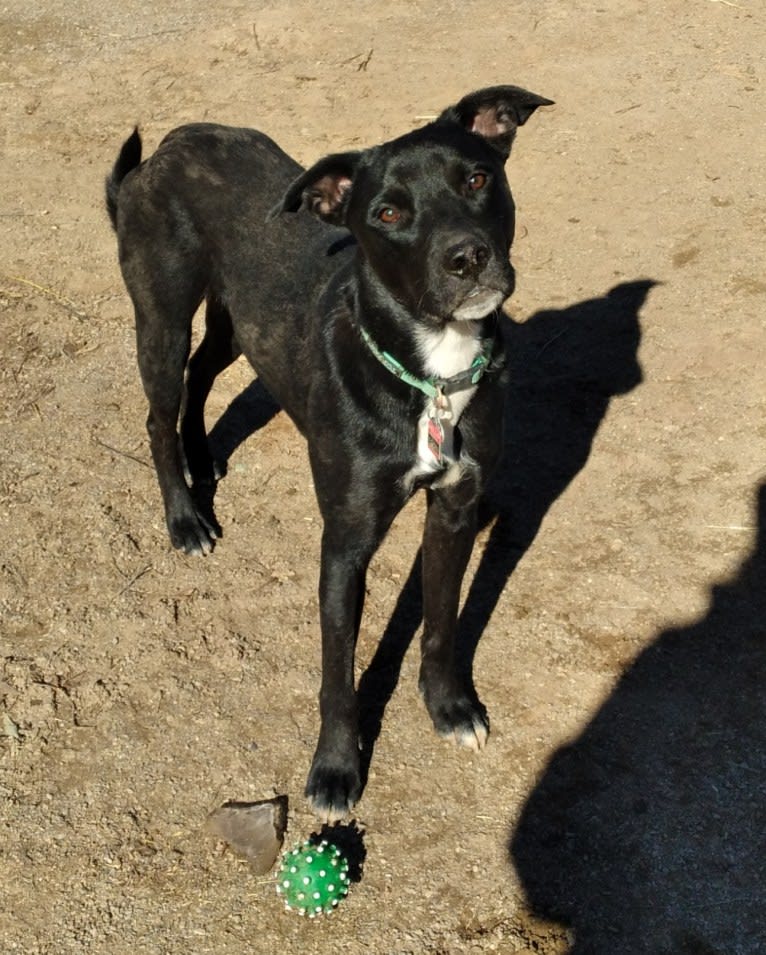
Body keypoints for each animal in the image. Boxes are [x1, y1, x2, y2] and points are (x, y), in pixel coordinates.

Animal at [106, 86, 552, 816]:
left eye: (477, 179)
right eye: (389, 213)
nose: (467, 258)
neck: (430, 372)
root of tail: (169, 147)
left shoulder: (455, 511)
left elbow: (440, 622)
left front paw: (449, 706)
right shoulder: (345, 543)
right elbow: (338, 672)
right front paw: (337, 769)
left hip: (240, 321)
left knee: (203, 373)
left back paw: (205, 462)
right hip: (162, 320)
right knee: (158, 412)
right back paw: (185, 516)